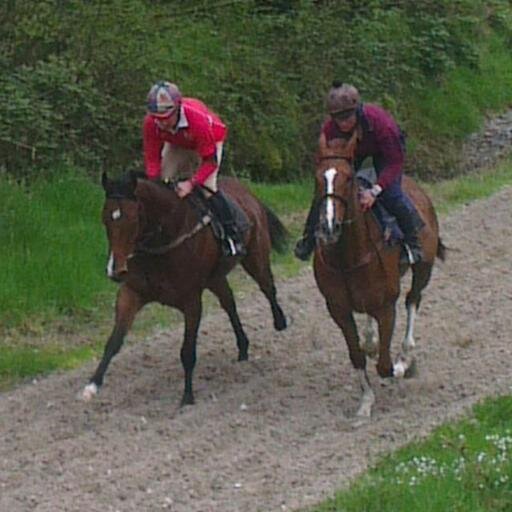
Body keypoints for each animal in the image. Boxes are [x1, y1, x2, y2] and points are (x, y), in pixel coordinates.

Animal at [82, 172, 286, 404]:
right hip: (215, 278)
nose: (115, 271)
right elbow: (113, 342)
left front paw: (187, 395)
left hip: (255, 257)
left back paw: (280, 321)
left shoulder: (191, 301)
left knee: (267, 287)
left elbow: (187, 352)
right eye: (105, 218)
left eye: (133, 219)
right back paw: (243, 347)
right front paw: (92, 386)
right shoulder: (131, 293)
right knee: (229, 303)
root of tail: (249, 193)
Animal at [312, 134, 444, 418]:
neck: (348, 258)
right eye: (317, 178)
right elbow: (357, 355)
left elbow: (384, 364)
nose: (329, 226)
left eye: (348, 178)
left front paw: (402, 366)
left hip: (423, 267)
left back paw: (405, 355)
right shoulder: (338, 309)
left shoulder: (386, 306)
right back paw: (371, 341)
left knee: (413, 299)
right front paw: (365, 402)